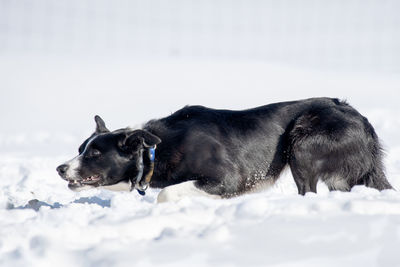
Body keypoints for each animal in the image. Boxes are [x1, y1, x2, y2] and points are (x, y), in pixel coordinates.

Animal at [56, 98, 394, 203]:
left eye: (95, 154)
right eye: (80, 149)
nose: (60, 168)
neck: (156, 150)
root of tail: (362, 122)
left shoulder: (229, 179)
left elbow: (167, 194)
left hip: (301, 145)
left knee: (307, 192)